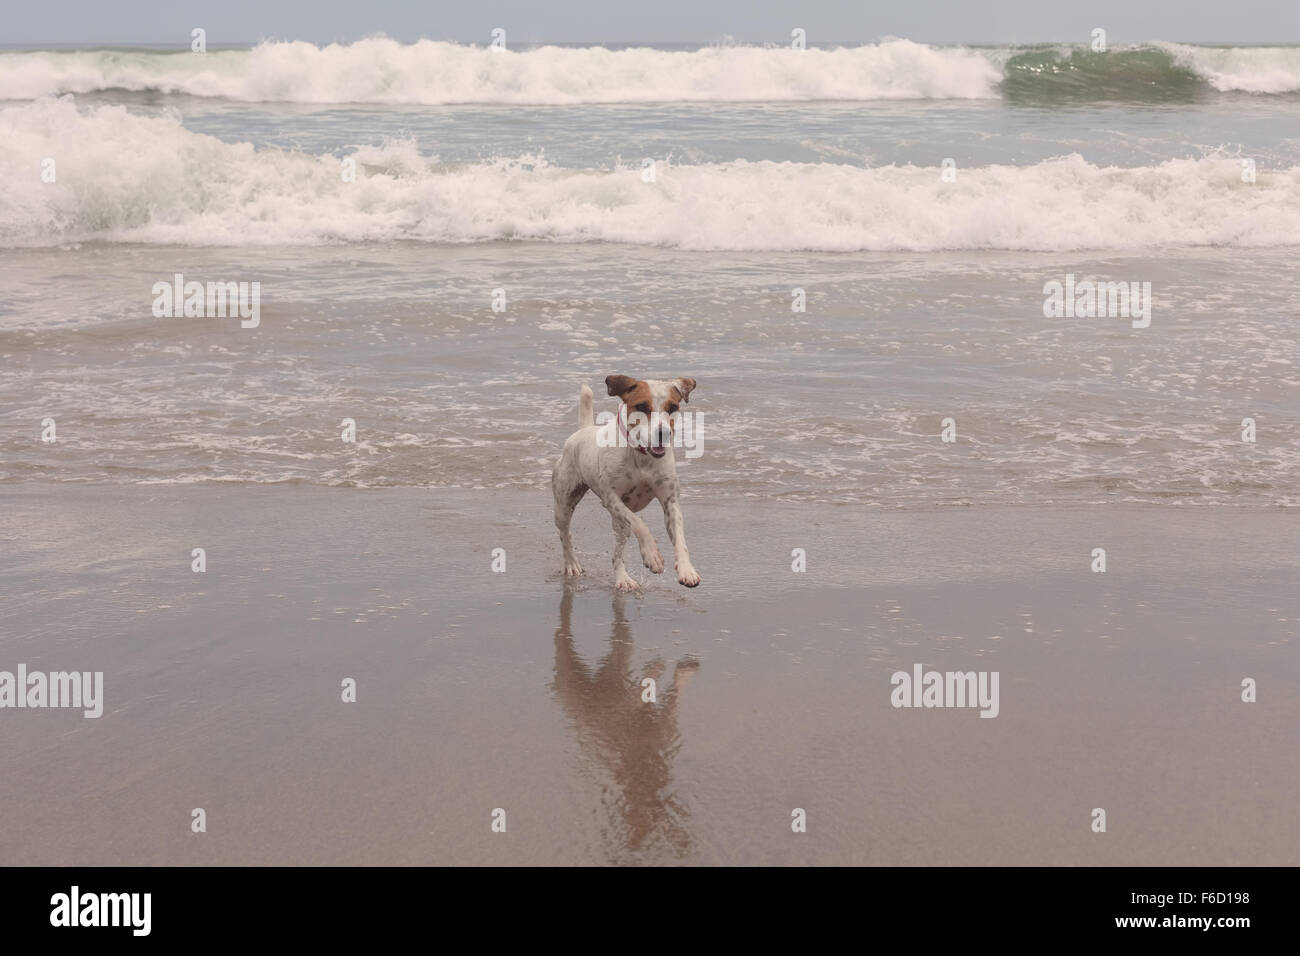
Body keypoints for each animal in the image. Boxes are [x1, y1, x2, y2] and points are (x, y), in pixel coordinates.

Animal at [553, 374, 707, 590]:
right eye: (641, 406)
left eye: (673, 407)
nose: (663, 433)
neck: (641, 456)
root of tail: (584, 431)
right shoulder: (611, 499)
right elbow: (640, 524)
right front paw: (652, 556)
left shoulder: (670, 501)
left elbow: (679, 536)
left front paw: (687, 570)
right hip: (564, 502)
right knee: (565, 534)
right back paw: (571, 564)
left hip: (619, 524)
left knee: (617, 552)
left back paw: (623, 578)